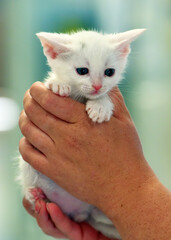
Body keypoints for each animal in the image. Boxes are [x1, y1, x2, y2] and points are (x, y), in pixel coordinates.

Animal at [19, 29, 146, 239]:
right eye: (82, 71)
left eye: (109, 72)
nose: (97, 86)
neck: (80, 97)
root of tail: (77, 211)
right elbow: (53, 83)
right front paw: (58, 84)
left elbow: (106, 96)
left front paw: (101, 105)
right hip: (28, 167)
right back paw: (34, 194)